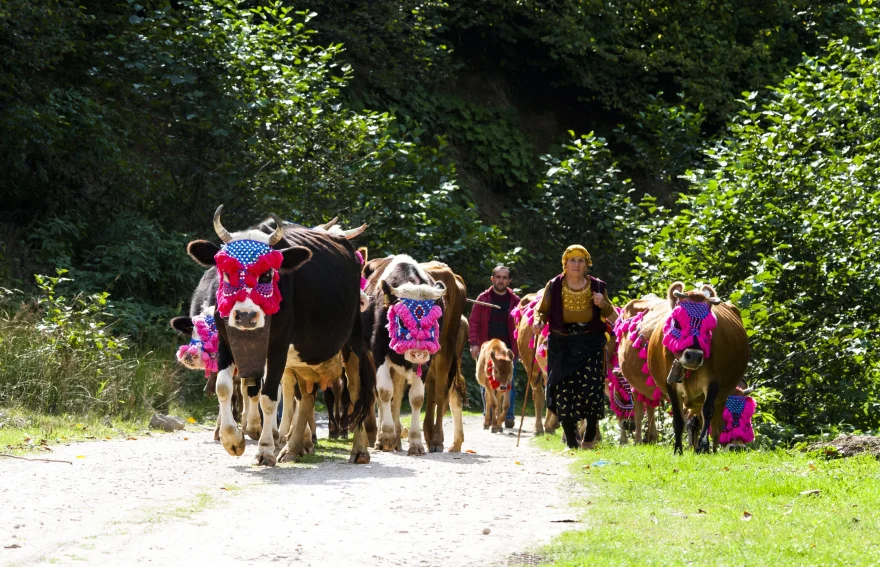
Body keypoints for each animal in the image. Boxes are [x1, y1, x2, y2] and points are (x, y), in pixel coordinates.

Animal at [186, 205, 374, 466]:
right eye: (227, 272)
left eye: (267, 274)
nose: (245, 316)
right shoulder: (225, 342)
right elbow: (224, 388)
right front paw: (233, 440)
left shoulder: (278, 346)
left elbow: (268, 397)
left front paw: (265, 448)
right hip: (306, 355)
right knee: (306, 396)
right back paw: (293, 447)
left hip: (352, 343)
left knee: (356, 392)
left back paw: (359, 449)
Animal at [648, 284, 748, 458]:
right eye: (677, 323)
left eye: (708, 328)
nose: (694, 356)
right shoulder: (670, 383)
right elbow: (678, 418)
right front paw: (678, 449)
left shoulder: (713, 381)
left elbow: (708, 412)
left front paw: (702, 446)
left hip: (722, 396)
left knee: (714, 424)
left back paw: (710, 448)